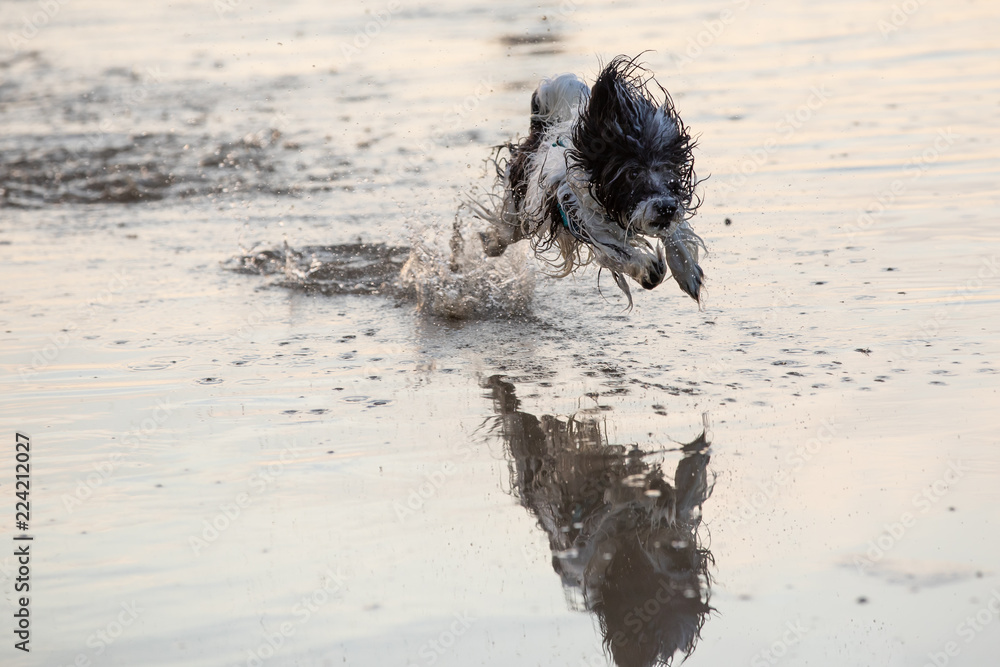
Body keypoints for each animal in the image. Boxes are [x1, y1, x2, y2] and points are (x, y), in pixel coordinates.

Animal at [480, 55, 708, 306]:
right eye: (632, 173)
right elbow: (617, 250)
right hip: (521, 207)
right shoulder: (580, 217)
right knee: (505, 231)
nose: (666, 208)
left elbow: (675, 233)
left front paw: (687, 272)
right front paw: (647, 268)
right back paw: (490, 242)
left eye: (668, 168)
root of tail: (539, 132)